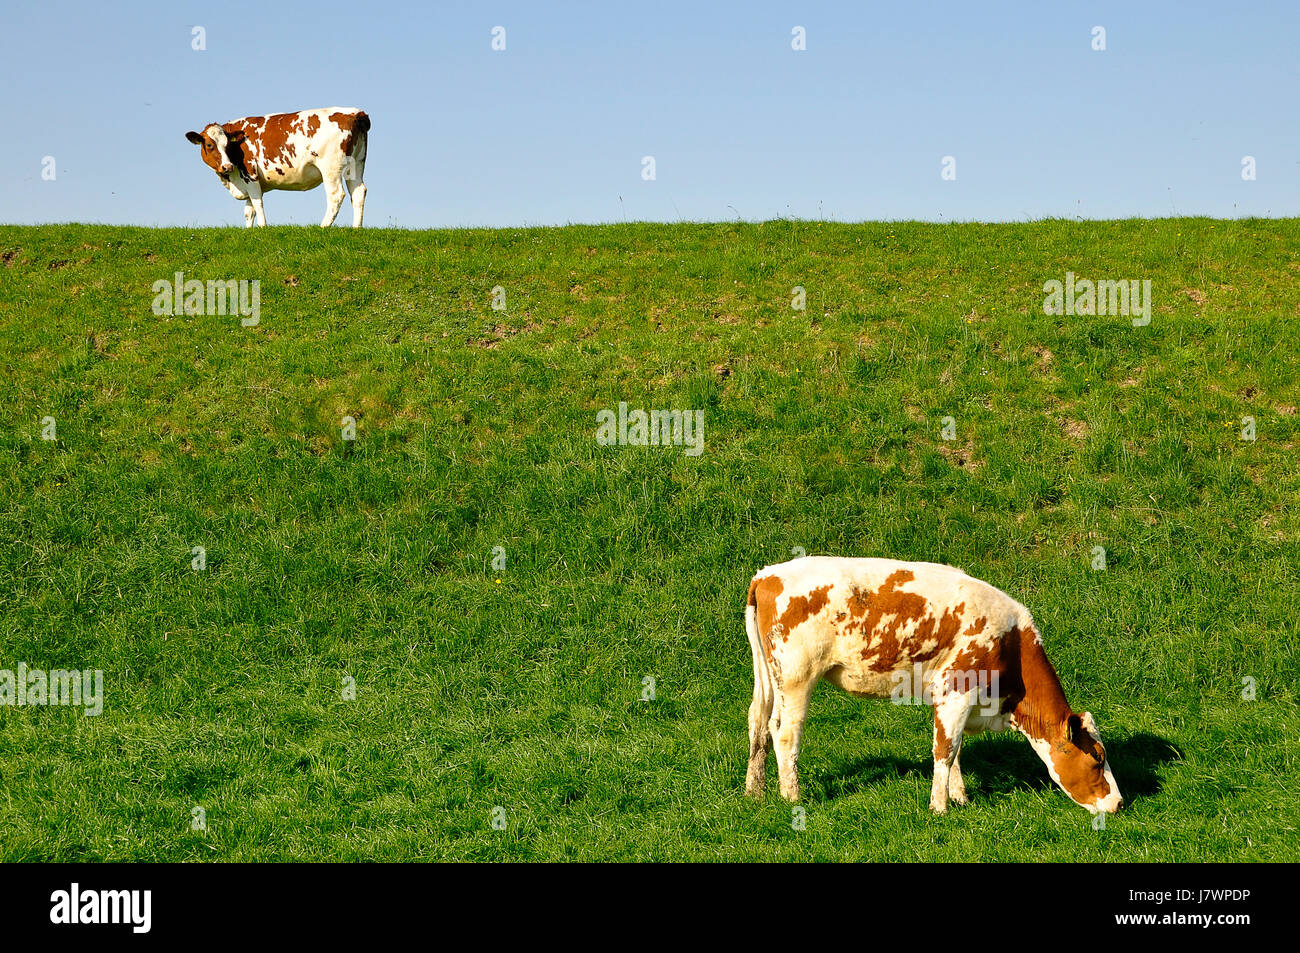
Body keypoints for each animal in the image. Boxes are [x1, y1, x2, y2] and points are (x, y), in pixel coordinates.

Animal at [185, 108, 370, 228]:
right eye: (210, 145)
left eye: (227, 145)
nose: (227, 166)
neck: (232, 180)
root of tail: (355, 113)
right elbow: (249, 210)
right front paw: (248, 231)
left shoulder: (250, 174)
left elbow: (257, 203)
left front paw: (262, 228)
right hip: (356, 164)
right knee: (358, 192)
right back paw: (356, 228)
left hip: (330, 168)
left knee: (336, 195)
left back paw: (323, 227)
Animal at [745, 556, 1122, 815]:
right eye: (1098, 758)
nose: (1119, 803)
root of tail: (767, 574)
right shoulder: (957, 689)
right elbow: (945, 749)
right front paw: (939, 808)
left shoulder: (951, 700)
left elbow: (954, 749)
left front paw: (960, 797)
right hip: (797, 677)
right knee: (785, 733)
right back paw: (792, 796)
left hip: (769, 677)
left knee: (758, 724)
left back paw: (755, 792)